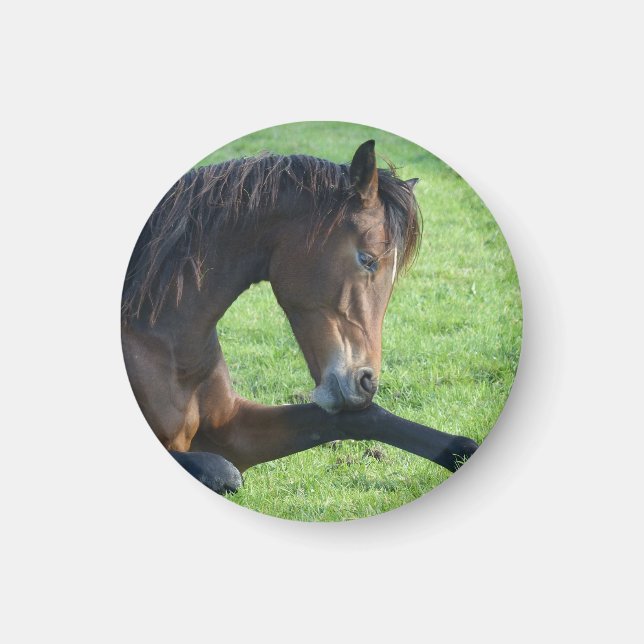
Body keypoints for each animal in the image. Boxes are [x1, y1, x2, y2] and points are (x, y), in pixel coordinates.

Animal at [121, 140, 478, 495]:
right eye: (367, 259)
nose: (367, 382)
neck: (166, 340)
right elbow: (224, 472)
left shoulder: (234, 428)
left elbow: (364, 418)